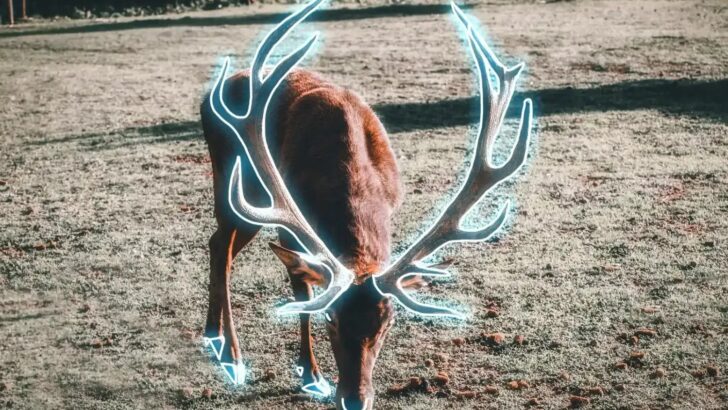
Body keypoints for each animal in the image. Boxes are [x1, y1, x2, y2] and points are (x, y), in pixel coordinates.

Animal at [199, 1, 533, 408]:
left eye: (388, 322)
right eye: (331, 318)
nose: (355, 400)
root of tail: (210, 95)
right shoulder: (292, 230)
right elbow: (302, 291)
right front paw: (311, 374)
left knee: (220, 245)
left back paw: (215, 335)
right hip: (233, 183)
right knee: (221, 245)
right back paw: (230, 352)